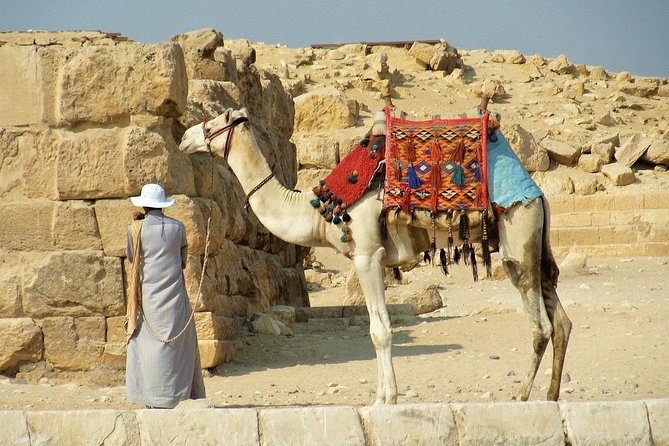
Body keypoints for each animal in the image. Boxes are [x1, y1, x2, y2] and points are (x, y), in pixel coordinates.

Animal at [178, 106, 572, 405]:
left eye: (213, 124)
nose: (184, 137)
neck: (319, 210)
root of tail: (538, 194)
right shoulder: (374, 260)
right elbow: (377, 328)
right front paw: (383, 395)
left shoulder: (367, 254)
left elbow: (379, 330)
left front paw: (386, 399)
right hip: (535, 245)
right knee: (561, 322)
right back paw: (551, 395)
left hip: (519, 234)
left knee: (541, 325)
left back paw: (522, 396)